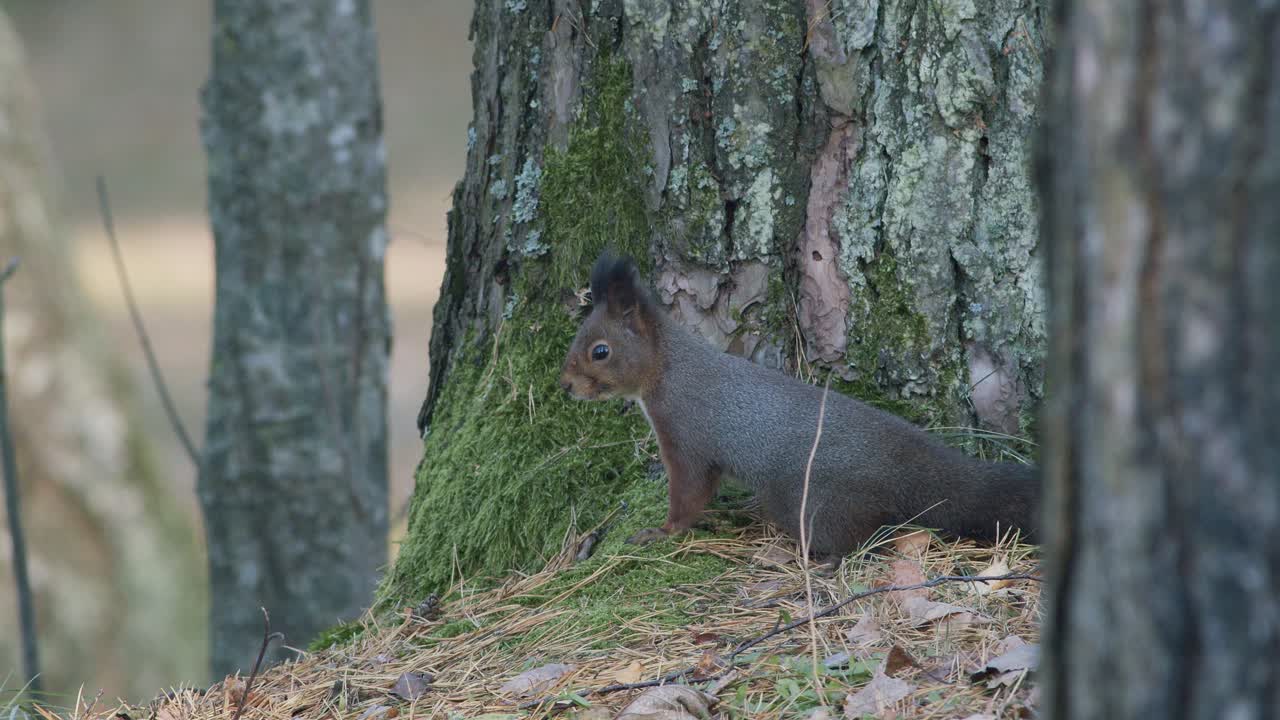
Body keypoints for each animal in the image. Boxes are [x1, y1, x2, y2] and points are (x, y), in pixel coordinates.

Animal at [559, 252, 1040, 557]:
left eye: (600, 351)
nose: (566, 386)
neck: (668, 369)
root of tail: (905, 468)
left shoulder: (686, 436)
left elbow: (689, 492)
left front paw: (662, 531)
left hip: (809, 502)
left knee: (862, 535)